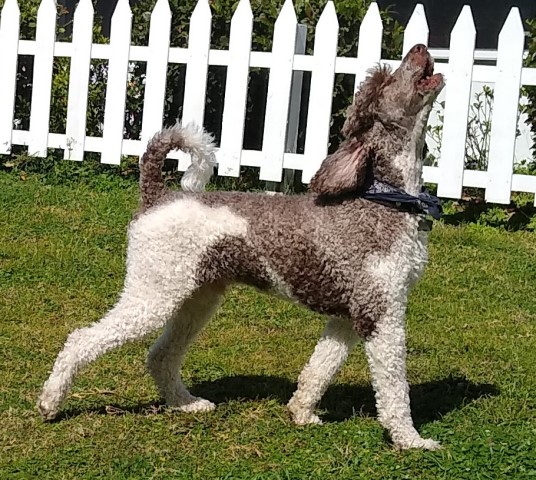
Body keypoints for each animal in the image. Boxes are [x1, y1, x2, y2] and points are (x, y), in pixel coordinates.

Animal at [37, 43, 446, 448]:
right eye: (387, 79)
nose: (420, 47)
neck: (383, 200)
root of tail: (156, 196)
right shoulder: (382, 313)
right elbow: (394, 390)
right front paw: (412, 441)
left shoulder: (349, 316)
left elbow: (320, 368)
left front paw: (301, 412)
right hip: (153, 297)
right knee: (81, 339)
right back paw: (50, 402)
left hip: (196, 298)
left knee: (160, 356)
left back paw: (186, 404)